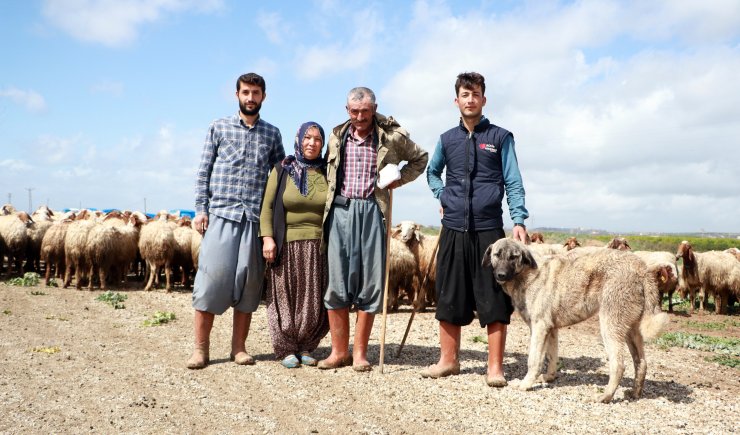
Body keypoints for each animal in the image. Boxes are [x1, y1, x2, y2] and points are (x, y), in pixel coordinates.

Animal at [482, 240, 668, 404]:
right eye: (497, 254)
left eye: (513, 257)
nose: (501, 275)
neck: (527, 274)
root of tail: (642, 268)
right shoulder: (551, 329)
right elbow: (551, 356)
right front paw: (549, 377)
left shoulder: (539, 328)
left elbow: (534, 360)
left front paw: (525, 384)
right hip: (631, 330)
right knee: (641, 362)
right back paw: (635, 393)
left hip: (610, 326)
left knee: (619, 365)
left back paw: (605, 396)